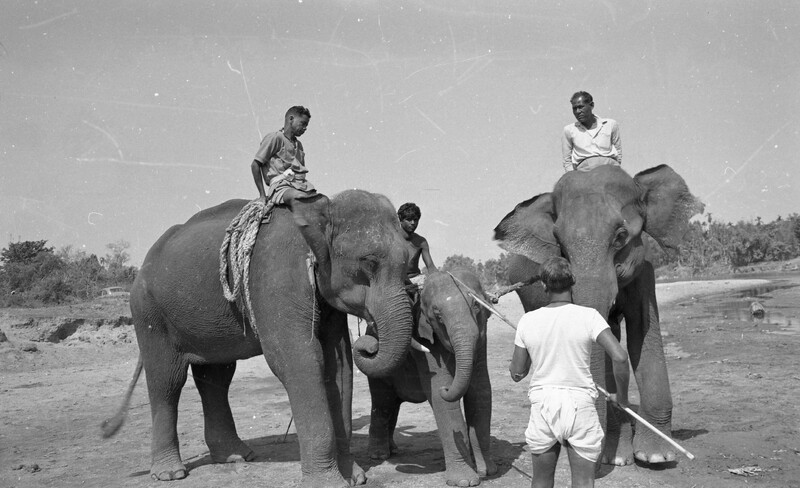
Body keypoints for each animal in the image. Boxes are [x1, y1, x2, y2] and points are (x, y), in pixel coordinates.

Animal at [102, 190, 415, 488]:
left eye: (407, 262)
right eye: (369, 262)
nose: (370, 343)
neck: (319, 206)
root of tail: (144, 263)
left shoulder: (326, 300)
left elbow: (338, 367)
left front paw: (355, 477)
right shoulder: (276, 280)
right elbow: (300, 361)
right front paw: (330, 484)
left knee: (216, 378)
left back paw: (235, 457)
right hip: (149, 312)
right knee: (167, 380)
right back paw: (170, 473)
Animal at [367, 268, 497, 487]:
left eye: (477, 306)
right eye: (438, 316)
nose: (448, 389)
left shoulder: (482, 339)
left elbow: (481, 393)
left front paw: (487, 471)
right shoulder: (425, 342)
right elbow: (440, 397)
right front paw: (465, 481)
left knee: (392, 405)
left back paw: (393, 449)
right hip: (378, 369)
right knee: (383, 403)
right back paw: (379, 455)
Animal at [493, 164, 703, 466]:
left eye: (621, 236)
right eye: (559, 244)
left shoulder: (644, 273)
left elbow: (642, 334)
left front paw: (656, 456)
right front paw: (614, 457)